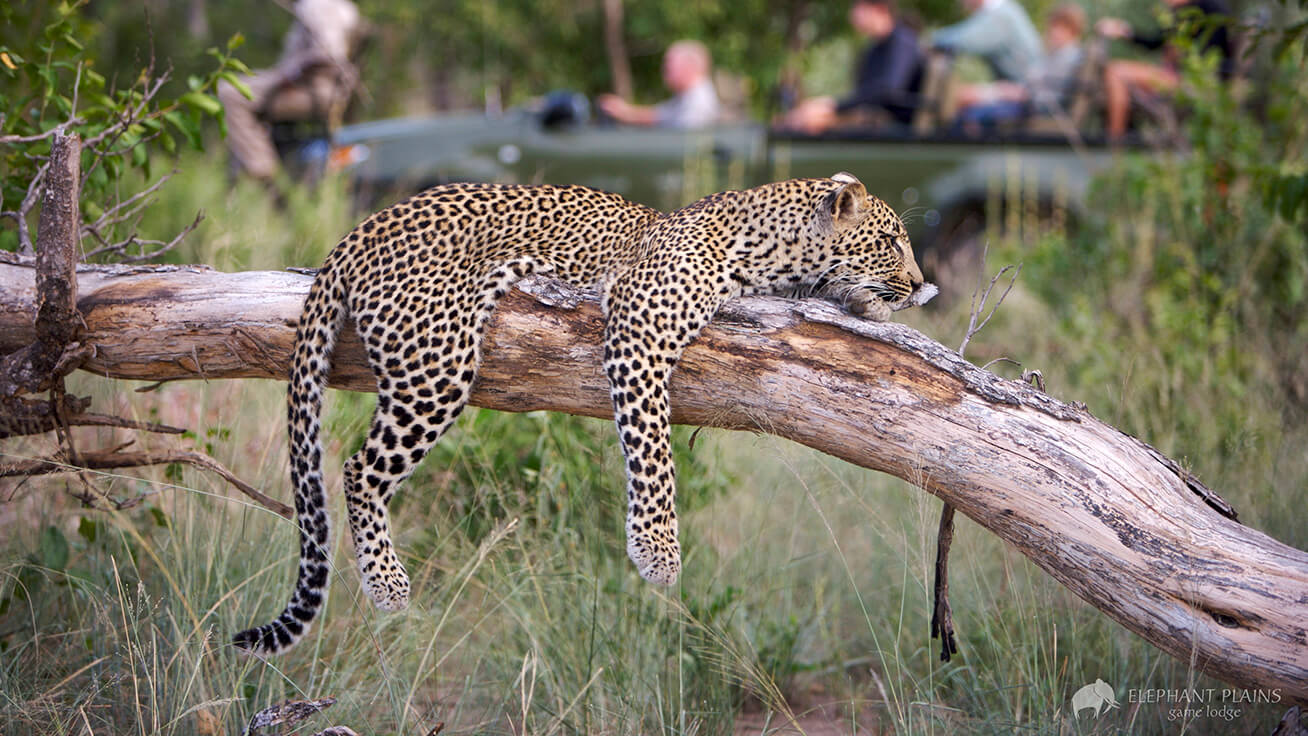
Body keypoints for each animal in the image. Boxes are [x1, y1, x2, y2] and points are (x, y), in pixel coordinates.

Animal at [232, 173, 931, 656]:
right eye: (891, 240)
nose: (924, 286)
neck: (765, 250)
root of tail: (362, 227)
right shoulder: (639, 328)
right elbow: (653, 449)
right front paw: (657, 554)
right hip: (437, 365)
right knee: (357, 470)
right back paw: (387, 587)